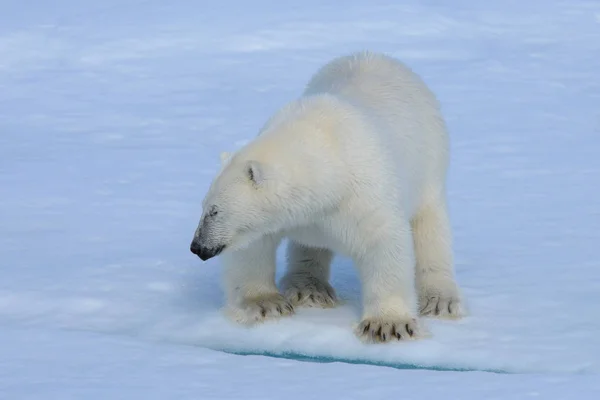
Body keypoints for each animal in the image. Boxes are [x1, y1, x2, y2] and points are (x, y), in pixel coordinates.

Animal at [191, 50, 464, 344]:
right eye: (203, 206)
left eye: (215, 210)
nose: (197, 247)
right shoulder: (297, 215)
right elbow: (254, 246)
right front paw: (266, 304)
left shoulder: (365, 193)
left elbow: (384, 243)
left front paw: (388, 325)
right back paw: (309, 288)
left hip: (430, 164)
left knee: (430, 229)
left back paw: (440, 299)